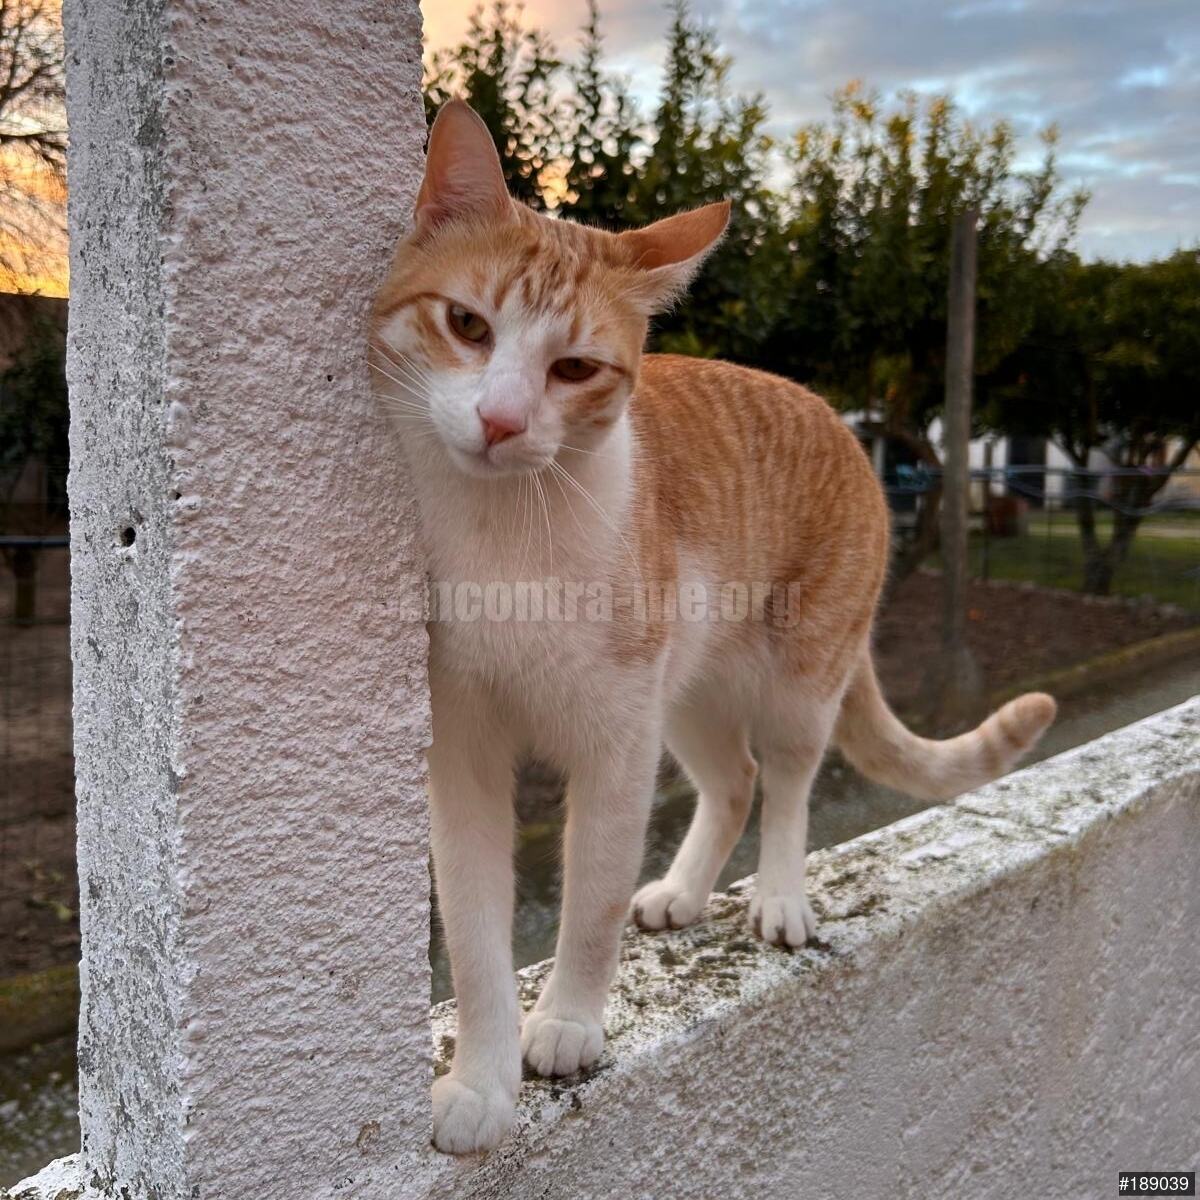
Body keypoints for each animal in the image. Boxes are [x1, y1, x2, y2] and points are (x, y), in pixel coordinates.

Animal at [371, 100, 1056, 1155]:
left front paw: (568, 1022)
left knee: (786, 781)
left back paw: (778, 898)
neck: (504, 538)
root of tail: (837, 416)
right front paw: (483, 1082)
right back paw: (687, 891)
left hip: (798, 678)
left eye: (573, 368)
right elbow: (479, 939)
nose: (500, 421)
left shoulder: (616, 747)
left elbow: (593, 900)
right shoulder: (466, 756)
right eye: (467, 325)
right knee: (731, 781)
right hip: (688, 693)